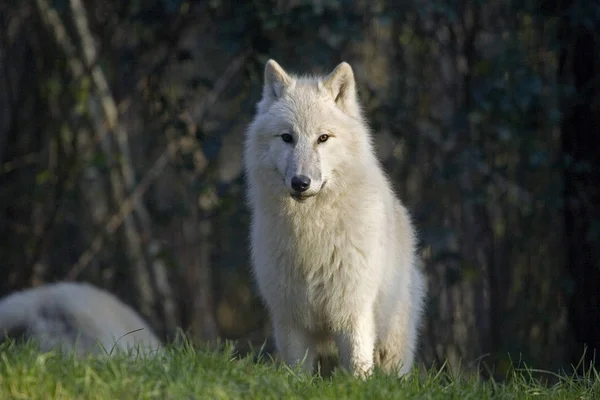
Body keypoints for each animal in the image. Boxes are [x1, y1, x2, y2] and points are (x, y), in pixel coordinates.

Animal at [244, 59, 426, 378]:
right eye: (287, 137)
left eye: (323, 138)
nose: (300, 183)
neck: (311, 231)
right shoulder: (290, 318)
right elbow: (297, 371)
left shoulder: (353, 311)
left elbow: (358, 366)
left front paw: (358, 385)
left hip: (392, 347)